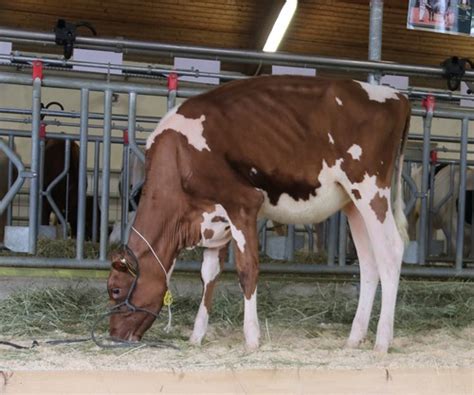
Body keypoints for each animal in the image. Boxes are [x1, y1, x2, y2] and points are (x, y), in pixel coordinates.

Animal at [107, 76, 412, 354]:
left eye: (116, 290)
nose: (114, 336)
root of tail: (397, 96)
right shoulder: (213, 222)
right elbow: (209, 275)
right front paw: (197, 335)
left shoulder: (243, 203)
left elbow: (247, 270)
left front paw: (252, 339)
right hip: (352, 203)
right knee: (368, 263)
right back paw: (354, 338)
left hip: (370, 189)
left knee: (390, 251)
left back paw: (382, 341)